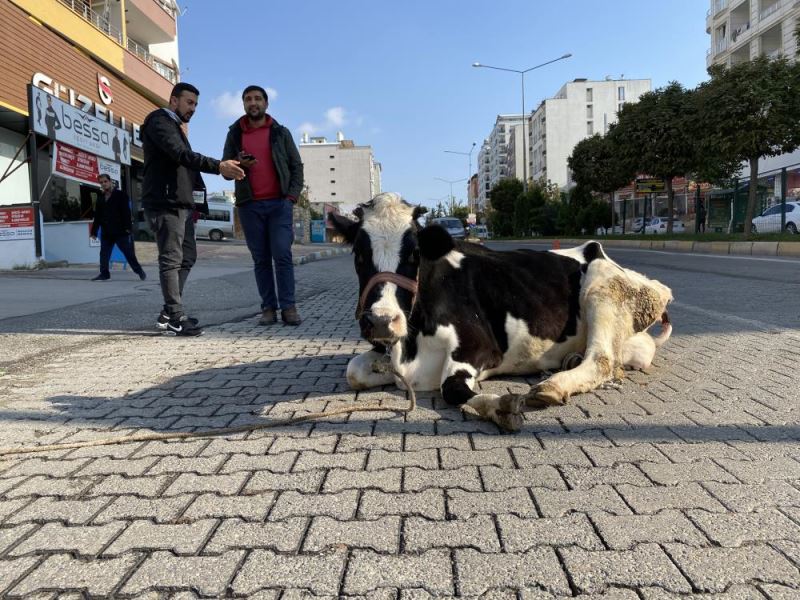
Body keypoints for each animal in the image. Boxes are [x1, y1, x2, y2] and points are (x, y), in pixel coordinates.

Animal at [328, 192, 672, 432]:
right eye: (358, 253)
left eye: (414, 253)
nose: (382, 321)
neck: (409, 348)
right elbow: (353, 372)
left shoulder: (478, 346)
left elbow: (452, 388)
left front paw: (499, 406)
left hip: (602, 291)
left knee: (603, 359)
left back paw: (553, 386)